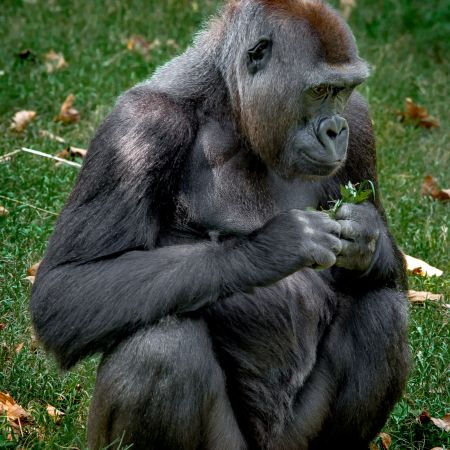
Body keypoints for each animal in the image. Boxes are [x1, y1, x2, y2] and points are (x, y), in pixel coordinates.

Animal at [30, 0, 412, 450]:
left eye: (344, 91)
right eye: (320, 90)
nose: (336, 129)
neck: (230, 107)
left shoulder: (361, 122)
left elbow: (386, 268)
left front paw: (365, 238)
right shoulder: (138, 127)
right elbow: (65, 287)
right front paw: (271, 248)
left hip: (291, 442)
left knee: (382, 315)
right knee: (162, 345)